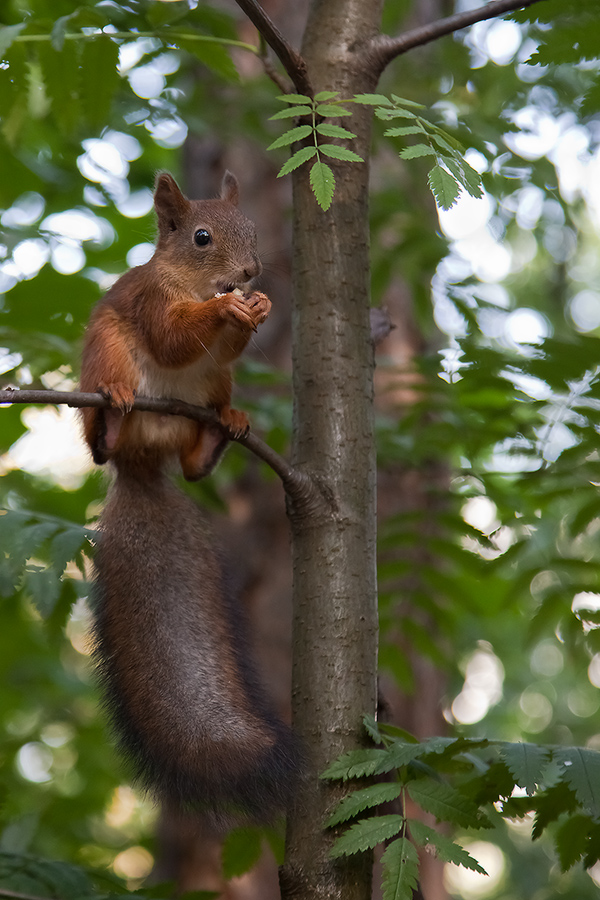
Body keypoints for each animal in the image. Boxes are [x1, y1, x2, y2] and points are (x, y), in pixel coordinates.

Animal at [79, 171, 300, 824]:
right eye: (201, 237)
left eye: (251, 228)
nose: (251, 272)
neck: (195, 283)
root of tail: (142, 464)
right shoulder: (154, 303)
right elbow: (174, 338)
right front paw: (227, 307)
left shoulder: (222, 354)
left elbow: (220, 347)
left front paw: (258, 308)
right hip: (107, 352)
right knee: (103, 441)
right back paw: (113, 416)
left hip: (210, 388)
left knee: (196, 466)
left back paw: (226, 428)